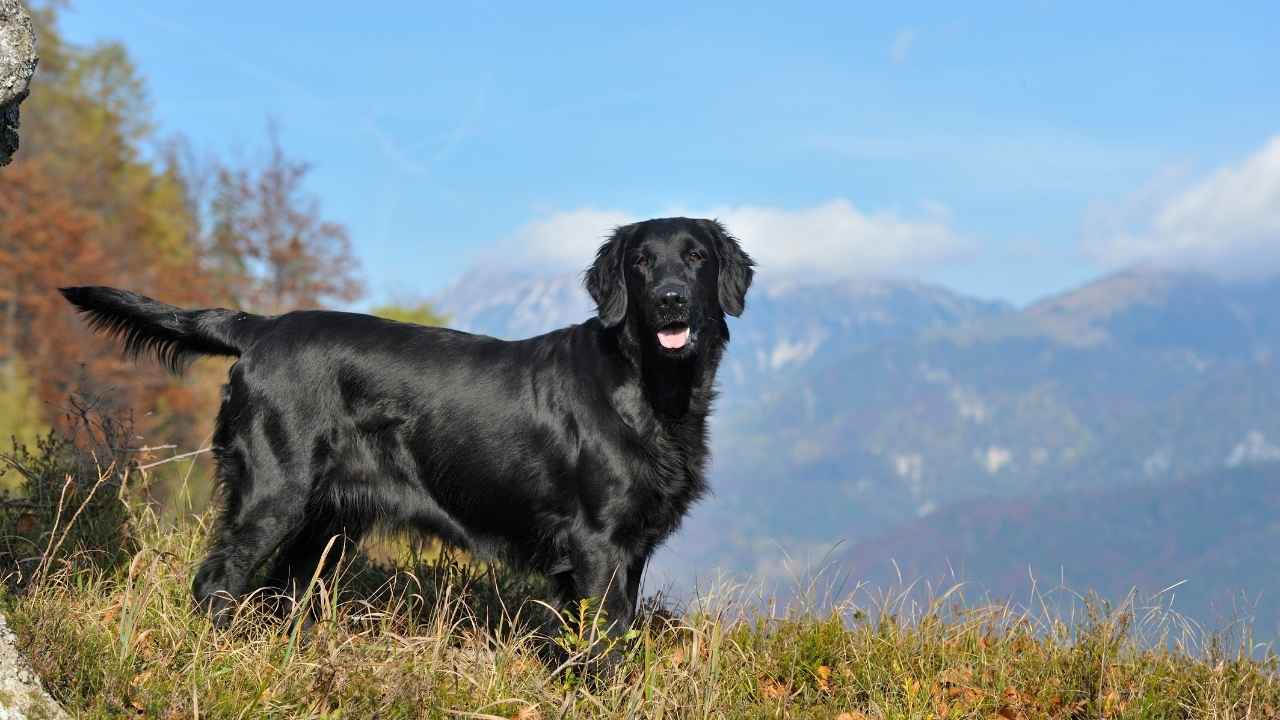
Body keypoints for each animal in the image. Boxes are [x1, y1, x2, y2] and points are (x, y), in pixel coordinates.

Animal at [62, 217, 747, 638]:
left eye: (695, 257)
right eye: (641, 261)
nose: (670, 299)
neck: (652, 388)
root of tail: (262, 327)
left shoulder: (631, 548)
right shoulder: (597, 543)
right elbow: (601, 644)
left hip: (326, 522)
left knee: (279, 591)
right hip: (273, 494)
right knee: (217, 582)